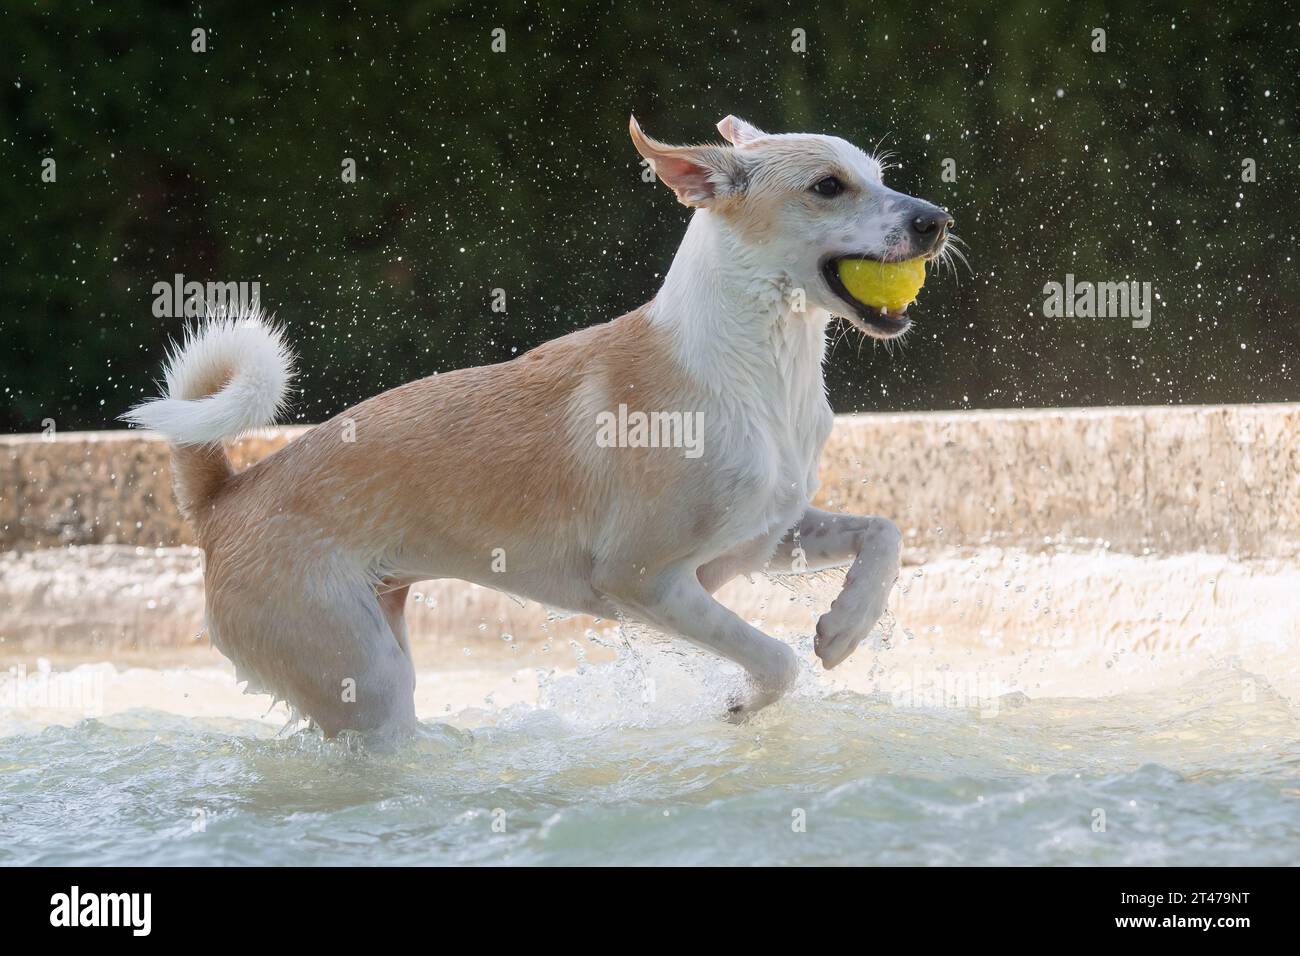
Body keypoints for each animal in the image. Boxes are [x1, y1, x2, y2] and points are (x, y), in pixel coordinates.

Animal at [124, 115, 956, 738]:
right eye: (828, 187)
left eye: (879, 173)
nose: (937, 220)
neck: (761, 367)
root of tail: (224, 497)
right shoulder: (645, 581)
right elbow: (776, 660)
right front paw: (742, 701)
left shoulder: (761, 538)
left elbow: (882, 533)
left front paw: (845, 628)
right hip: (363, 680)